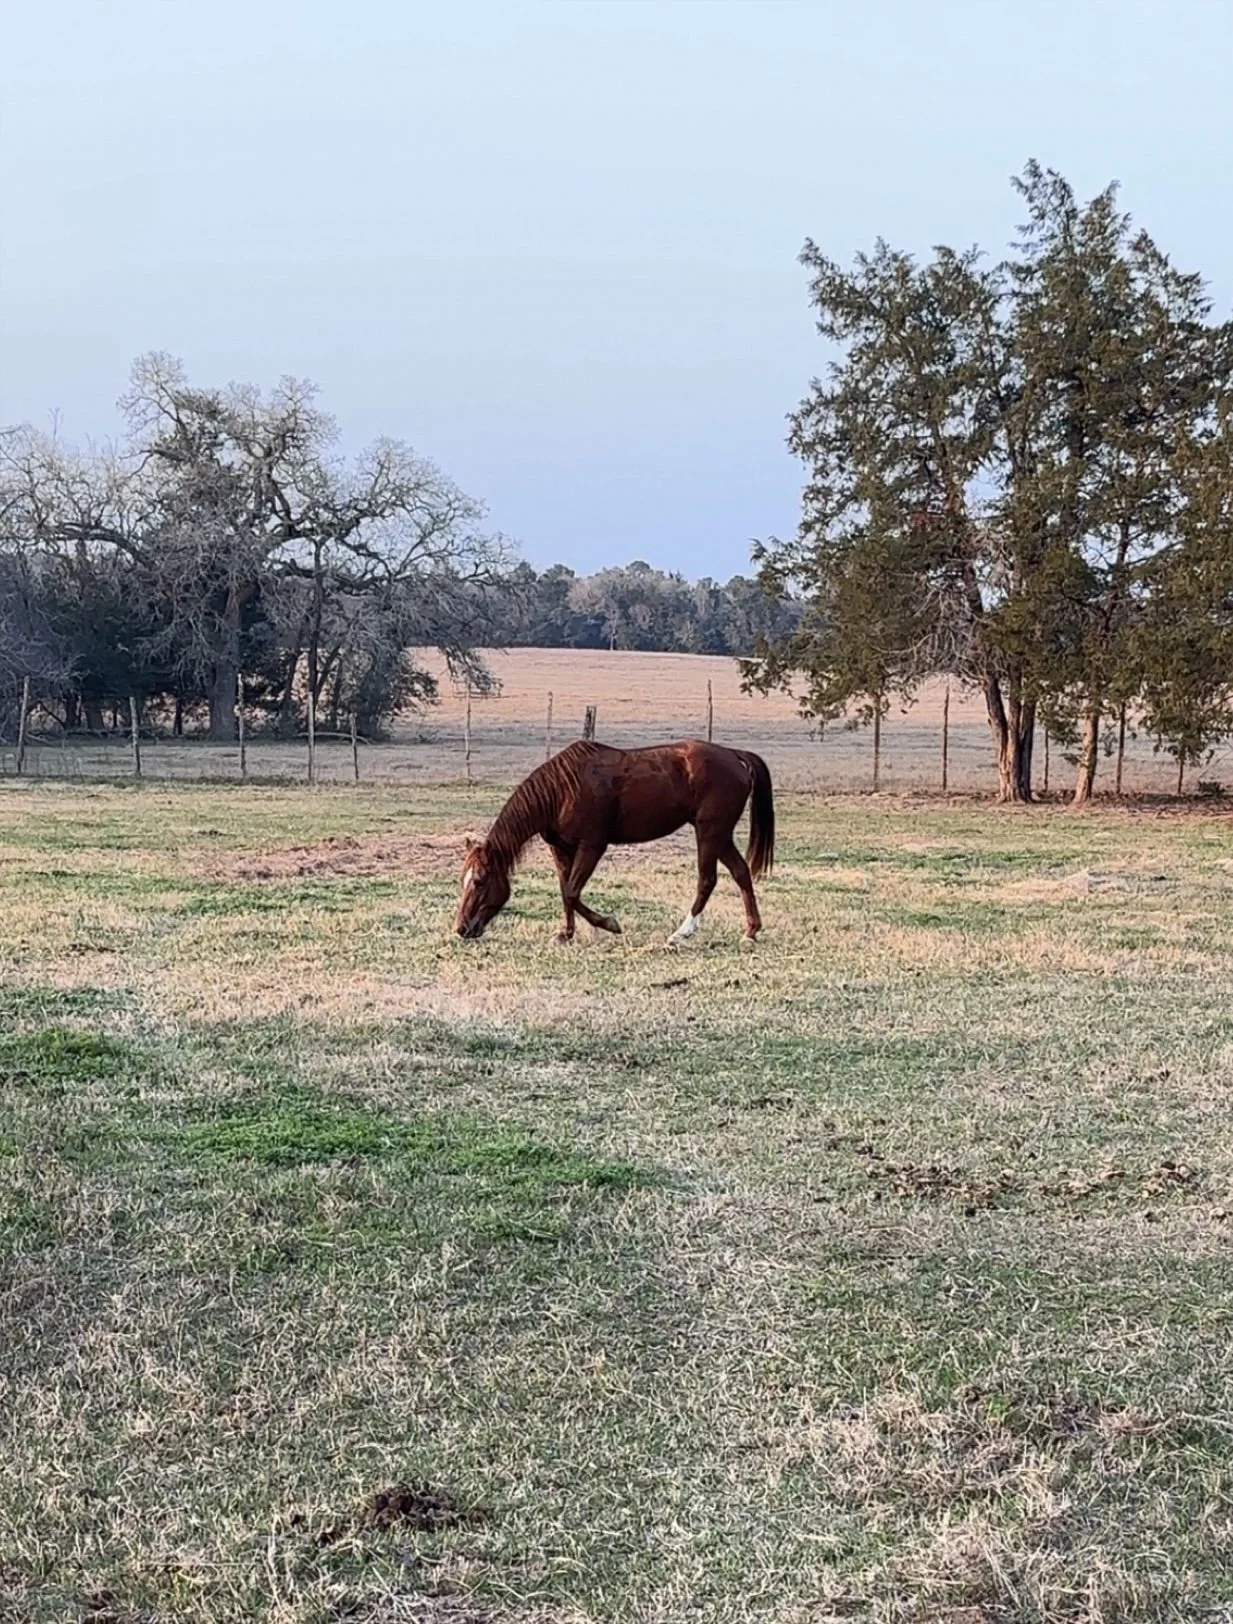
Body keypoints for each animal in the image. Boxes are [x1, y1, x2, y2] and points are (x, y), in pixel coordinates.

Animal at [454, 738, 774, 945]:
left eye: (480, 881)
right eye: (463, 880)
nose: (461, 928)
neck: (561, 790)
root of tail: (734, 755)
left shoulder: (592, 846)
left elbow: (572, 892)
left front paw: (609, 924)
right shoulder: (560, 848)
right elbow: (565, 890)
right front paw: (565, 934)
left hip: (709, 833)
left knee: (707, 880)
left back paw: (682, 933)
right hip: (720, 835)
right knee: (741, 873)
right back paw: (751, 931)